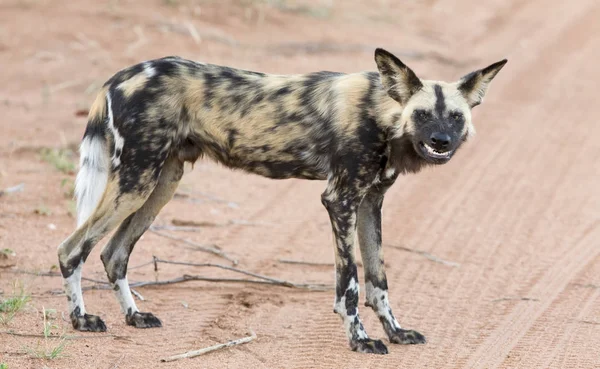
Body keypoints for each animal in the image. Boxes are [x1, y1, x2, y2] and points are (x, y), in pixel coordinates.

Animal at [57, 47, 506, 352]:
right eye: (423, 114)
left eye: (456, 117)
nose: (441, 141)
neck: (382, 114)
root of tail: (121, 75)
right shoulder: (340, 201)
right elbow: (350, 283)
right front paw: (360, 339)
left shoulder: (369, 203)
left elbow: (378, 279)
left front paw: (395, 332)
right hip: (136, 182)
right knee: (71, 248)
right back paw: (82, 320)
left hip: (159, 184)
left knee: (113, 252)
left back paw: (133, 316)